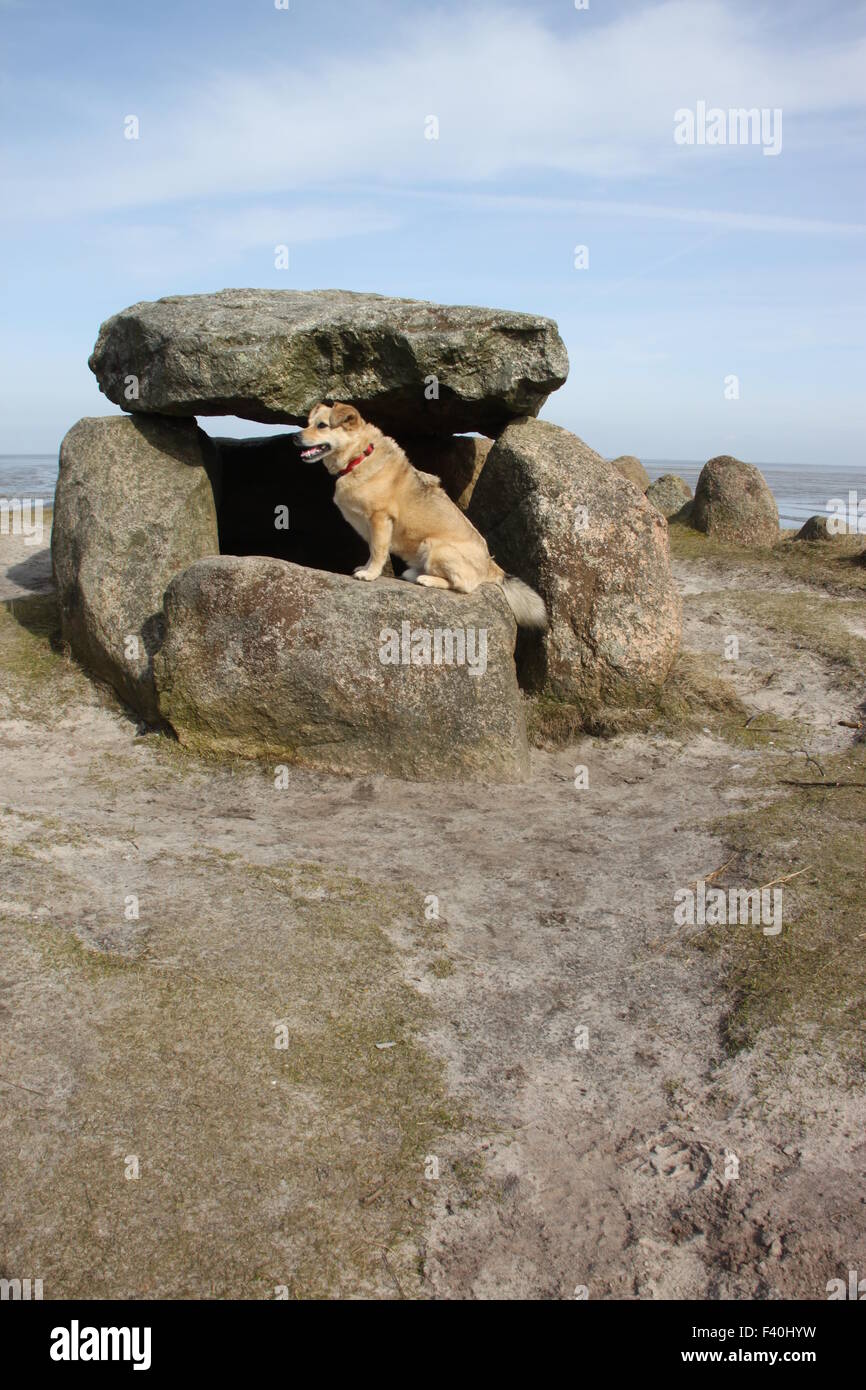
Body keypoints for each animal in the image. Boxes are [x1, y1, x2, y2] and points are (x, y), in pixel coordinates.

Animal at [294, 397, 544, 625]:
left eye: (322, 425)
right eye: (308, 423)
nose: (295, 437)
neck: (360, 456)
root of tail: (492, 566)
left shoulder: (380, 519)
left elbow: (377, 551)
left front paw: (370, 574)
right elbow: (372, 551)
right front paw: (365, 568)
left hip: (435, 547)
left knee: (462, 586)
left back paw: (427, 579)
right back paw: (414, 574)